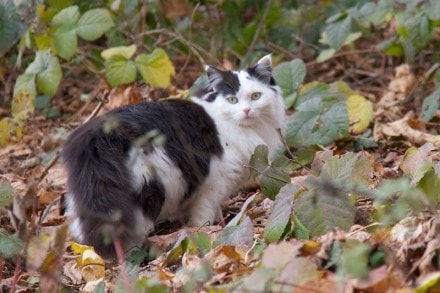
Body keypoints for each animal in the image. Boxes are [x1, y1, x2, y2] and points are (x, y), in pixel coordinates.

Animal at [63, 53, 288, 256]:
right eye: (232, 100)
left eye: (256, 96)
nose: (247, 111)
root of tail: (99, 134)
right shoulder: (214, 182)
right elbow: (203, 214)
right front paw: (207, 229)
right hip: (148, 187)